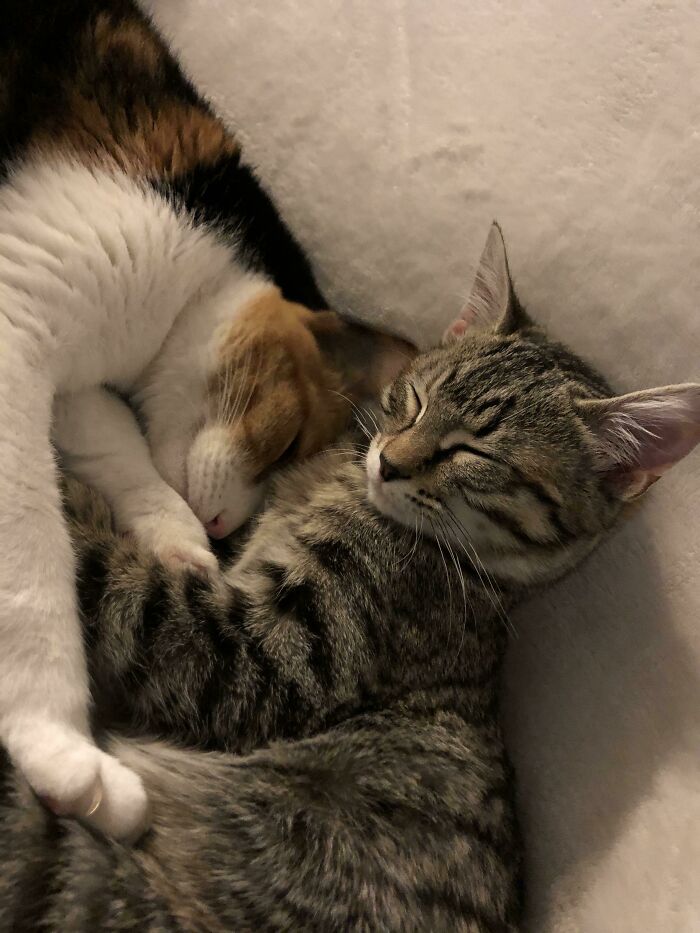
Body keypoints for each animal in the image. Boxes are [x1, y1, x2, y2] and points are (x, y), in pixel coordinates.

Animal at [0, 0, 409, 841]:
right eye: (286, 442)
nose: (225, 528)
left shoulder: (73, 380)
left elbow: (116, 442)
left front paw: (176, 538)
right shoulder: (14, 321)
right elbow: (28, 554)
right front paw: (60, 746)